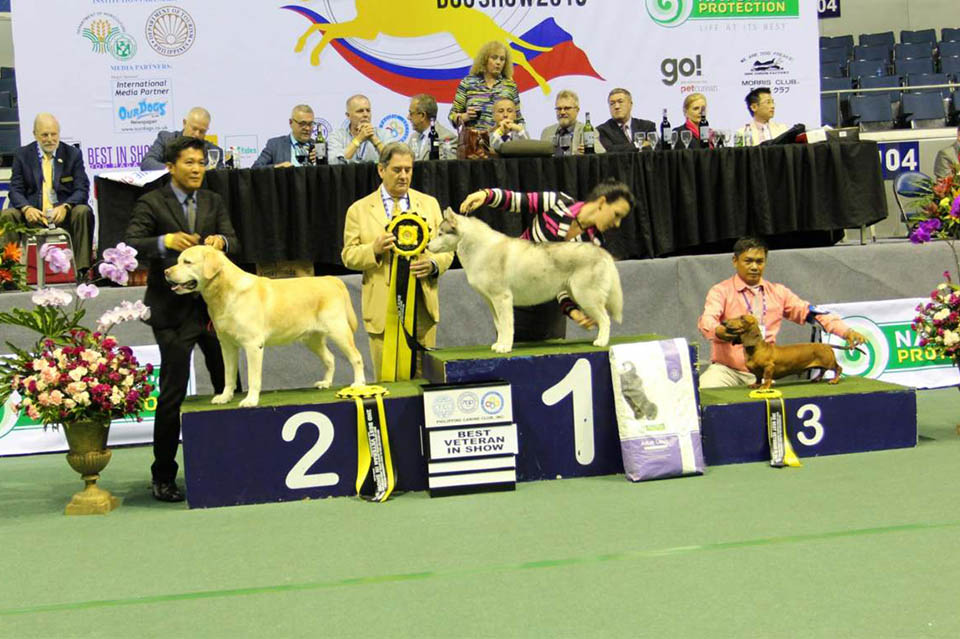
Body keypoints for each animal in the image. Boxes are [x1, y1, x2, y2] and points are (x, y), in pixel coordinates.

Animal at [165, 245, 364, 404]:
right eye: (178, 261)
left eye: (187, 262)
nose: (166, 272)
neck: (225, 292)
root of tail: (331, 279)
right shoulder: (227, 345)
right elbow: (228, 376)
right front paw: (225, 397)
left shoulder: (253, 345)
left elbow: (253, 378)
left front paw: (251, 400)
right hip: (311, 339)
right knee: (330, 358)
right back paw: (326, 383)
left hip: (339, 331)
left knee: (356, 357)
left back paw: (359, 384)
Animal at [716, 316, 844, 390]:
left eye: (742, 319)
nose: (723, 322)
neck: (756, 349)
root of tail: (826, 345)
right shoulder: (757, 372)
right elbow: (758, 377)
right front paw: (755, 384)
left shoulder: (768, 367)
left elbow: (766, 378)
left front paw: (764, 387)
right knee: (822, 371)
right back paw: (817, 379)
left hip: (829, 363)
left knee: (838, 368)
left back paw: (834, 380)